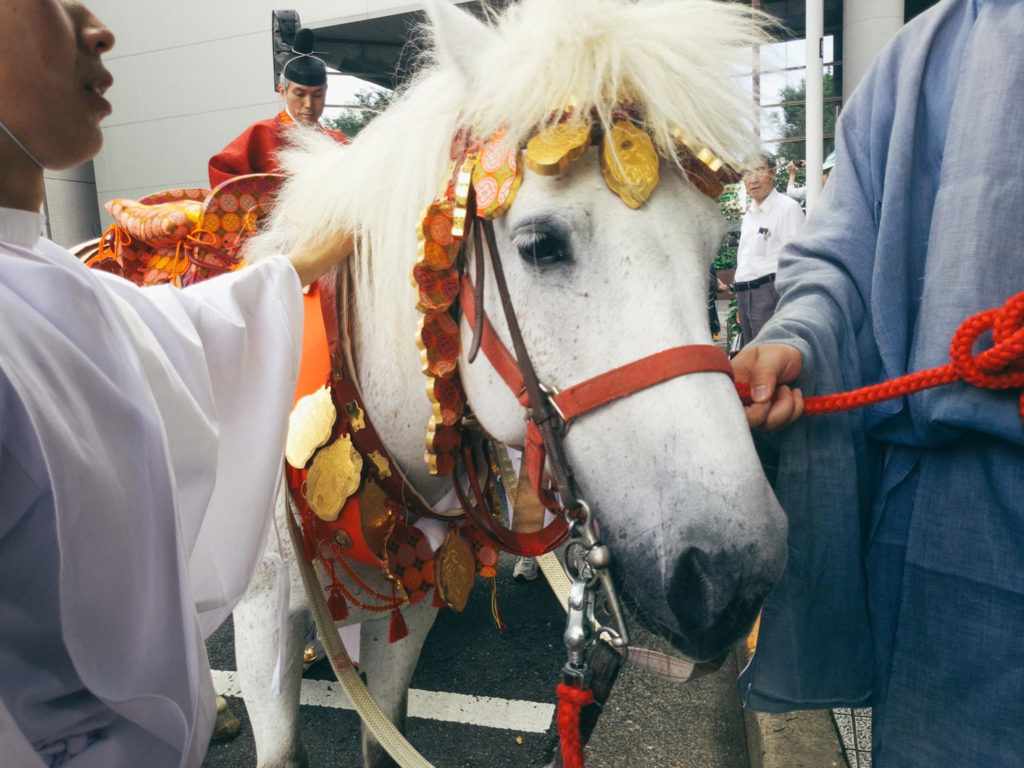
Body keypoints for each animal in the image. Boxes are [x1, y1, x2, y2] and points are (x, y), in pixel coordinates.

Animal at [235, 1, 786, 768]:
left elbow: (385, 731)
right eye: (538, 245)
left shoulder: (412, 606)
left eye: (713, 245)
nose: (732, 576)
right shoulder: (262, 616)